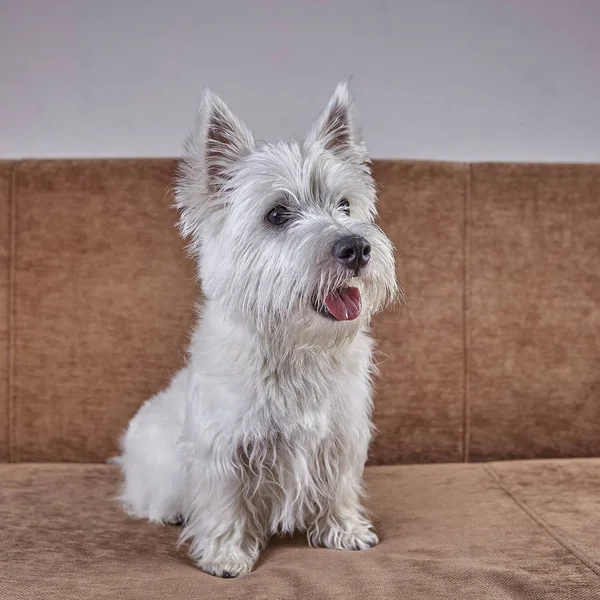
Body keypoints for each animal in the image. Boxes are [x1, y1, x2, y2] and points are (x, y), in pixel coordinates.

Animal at [117, 84, 398, 576]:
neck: (296, 345)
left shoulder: (340, 435)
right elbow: (226, 502)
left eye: (345, 206)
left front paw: (345, 531)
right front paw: (226, 555)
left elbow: (340, 484)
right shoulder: (224, 447)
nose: (357, 247)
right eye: (277, 214)